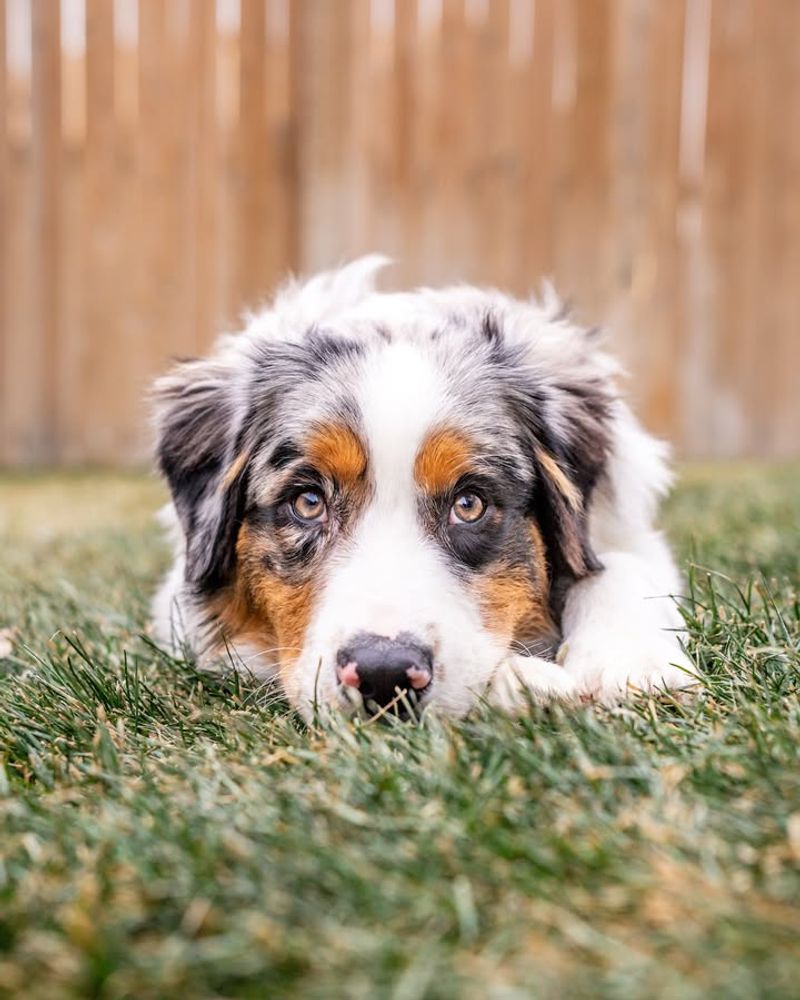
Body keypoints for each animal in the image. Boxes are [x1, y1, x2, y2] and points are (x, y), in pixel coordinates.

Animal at [150, 260, 692, 720]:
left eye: (469, 504)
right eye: (307, 501)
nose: (383, 673)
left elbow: (617, 566)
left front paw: (628, 662)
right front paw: (520, 681)